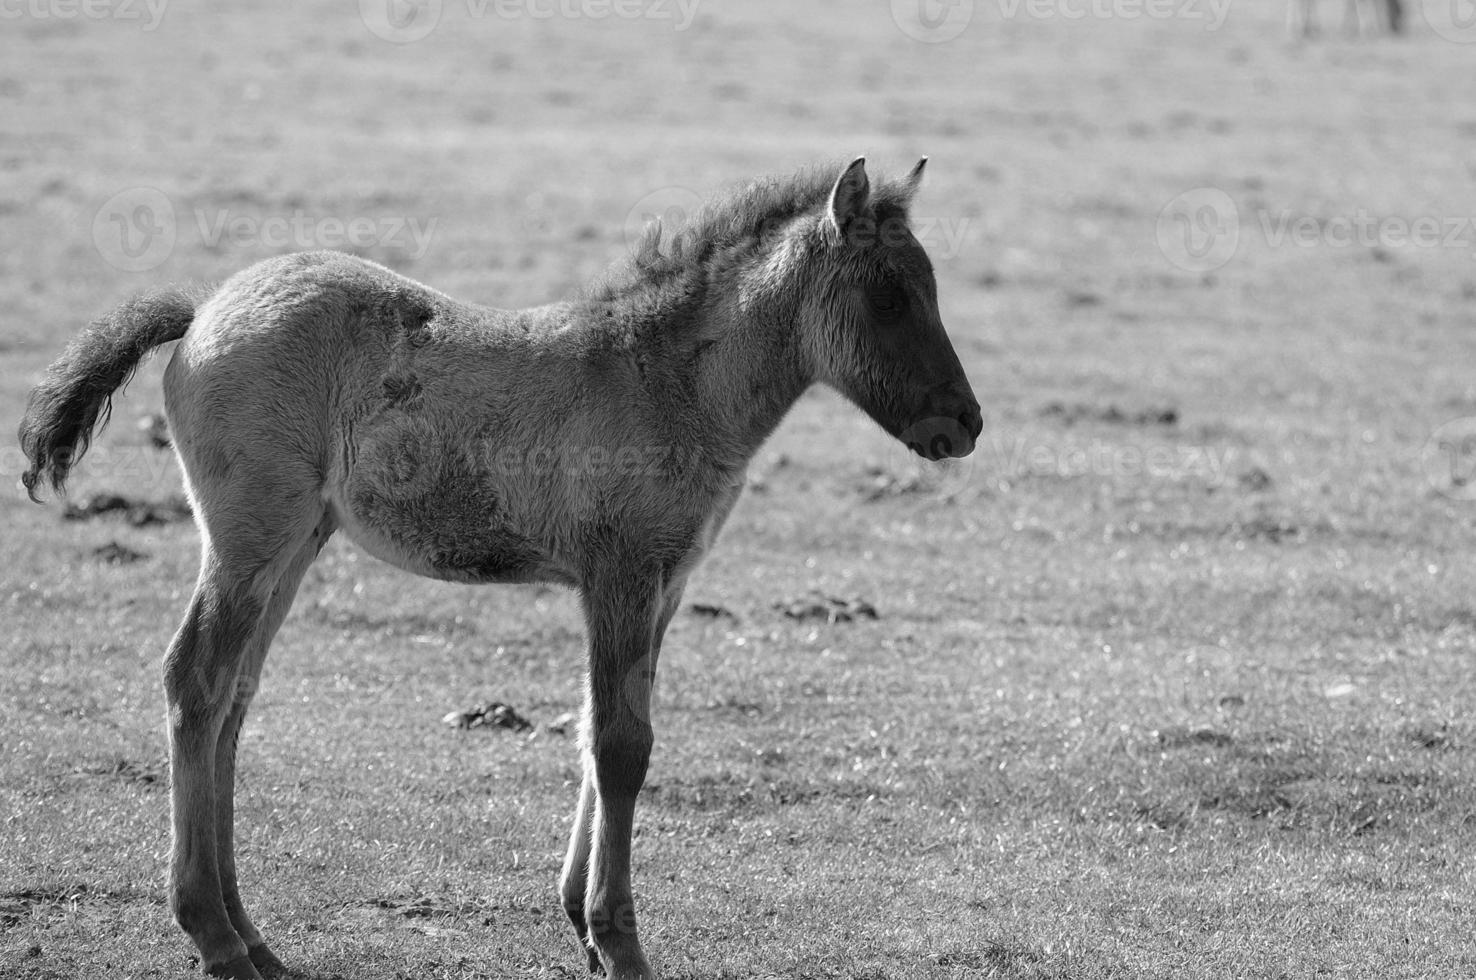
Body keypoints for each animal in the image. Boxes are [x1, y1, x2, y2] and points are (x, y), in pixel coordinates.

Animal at [14, 157, 980, 974]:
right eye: (889, 297)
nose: (965, 425)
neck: (668, 383)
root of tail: (203, 307)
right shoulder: (620, 577)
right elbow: (623, 745)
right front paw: (617, 942)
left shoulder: (665, 587)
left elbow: (599, 733)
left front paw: (580, 922)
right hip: (252, 538)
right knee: (196, 681)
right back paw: (212, 935)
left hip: (295, 544)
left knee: (233, 701)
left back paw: (252, 937)